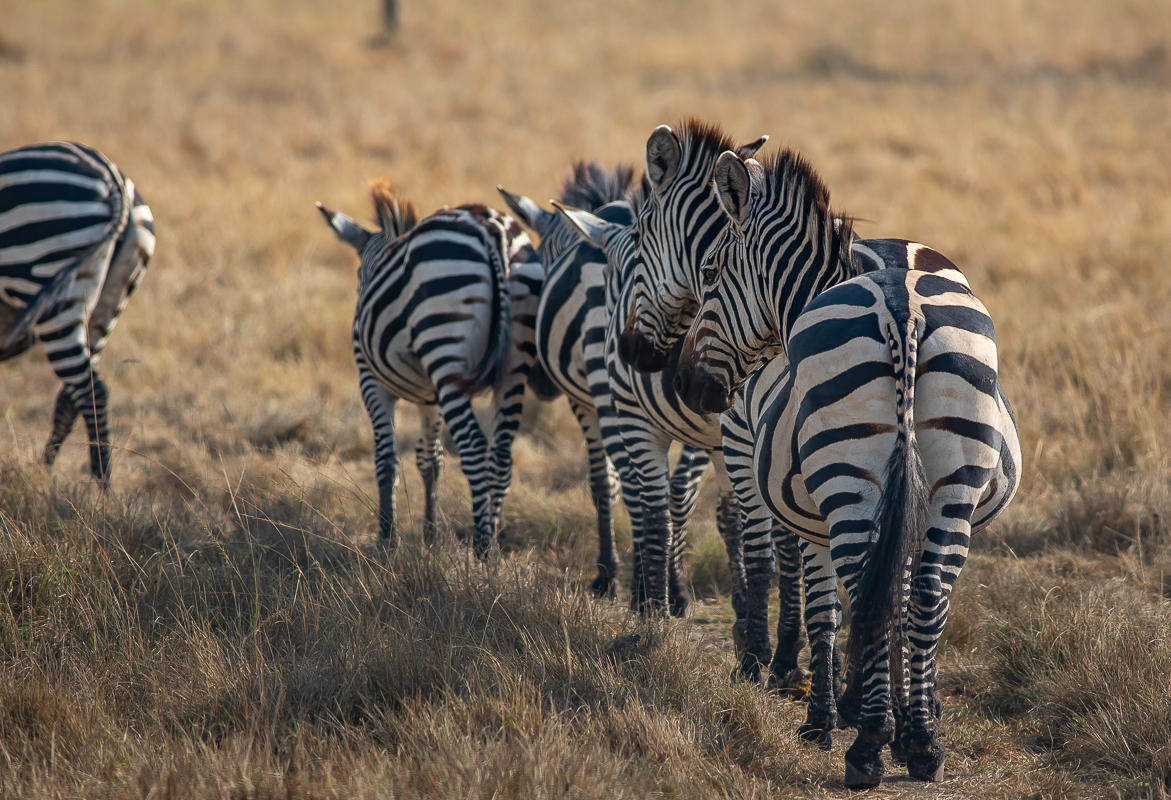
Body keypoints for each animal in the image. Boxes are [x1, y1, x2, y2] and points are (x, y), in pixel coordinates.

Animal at [0, 140, 155, 484]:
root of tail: (112, 179)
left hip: (51, 284)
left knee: (91, 392)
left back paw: (101, 489)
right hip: (106, 304)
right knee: (72, 397)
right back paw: (42, 478)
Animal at [318, 180, 541, 557]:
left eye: (361, 274)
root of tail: (491, 228)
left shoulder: (371, 382)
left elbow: (386, 461)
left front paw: (387, 541)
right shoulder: (429, 397)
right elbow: (430, 460)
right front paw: (430, 536)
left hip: (446, 347)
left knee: (474, 446)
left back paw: (482, 549)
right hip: (513, 366)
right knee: (501, 454)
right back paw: (494, 542)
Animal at [494, 163, 711, 609]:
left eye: (545, 262)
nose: (541, 385)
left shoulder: (586, 401)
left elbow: (601, 485)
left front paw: (608, 575)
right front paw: (668, 583)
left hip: (605, 386)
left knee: (631, 484)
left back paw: (639, 589)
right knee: (682, 488)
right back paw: (676, 587)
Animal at [550, 125, 810, 688]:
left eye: (643, 240)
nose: (631, 351)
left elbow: (780, 541)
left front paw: (779, 653)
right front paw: (769, 652)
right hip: (649, 420)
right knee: (662, 509)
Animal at [669, 148, 1025, 787]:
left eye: (709, 273)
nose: (686, 384)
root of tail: (903, 304)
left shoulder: (812, 518)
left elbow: (825, 608)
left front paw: (828, 717)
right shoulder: (906, 509)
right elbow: (902, 597)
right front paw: (908, 714)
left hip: (846, 483)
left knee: (861, 589)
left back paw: (866, 747)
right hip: (955, 480)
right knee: (926, 590)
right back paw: (922, 744)